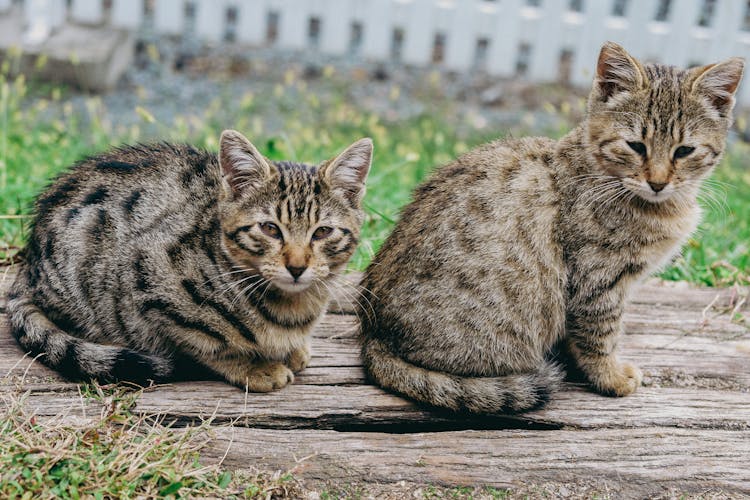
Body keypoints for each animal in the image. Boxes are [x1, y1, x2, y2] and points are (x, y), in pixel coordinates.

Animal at [8, 129, 374, 390]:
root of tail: (28, 263)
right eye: (270, 228)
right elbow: (205, 345)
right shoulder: (145, 282)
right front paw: (255, 367)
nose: (297, 267)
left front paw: (293, 350)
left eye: (322, 232)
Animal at [360, 42, 748, 410]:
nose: (658, 182)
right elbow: (600, 334)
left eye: (684, 151)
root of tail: (374, 336)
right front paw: (610, 377)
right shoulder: (597, 279)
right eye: (635, 146)